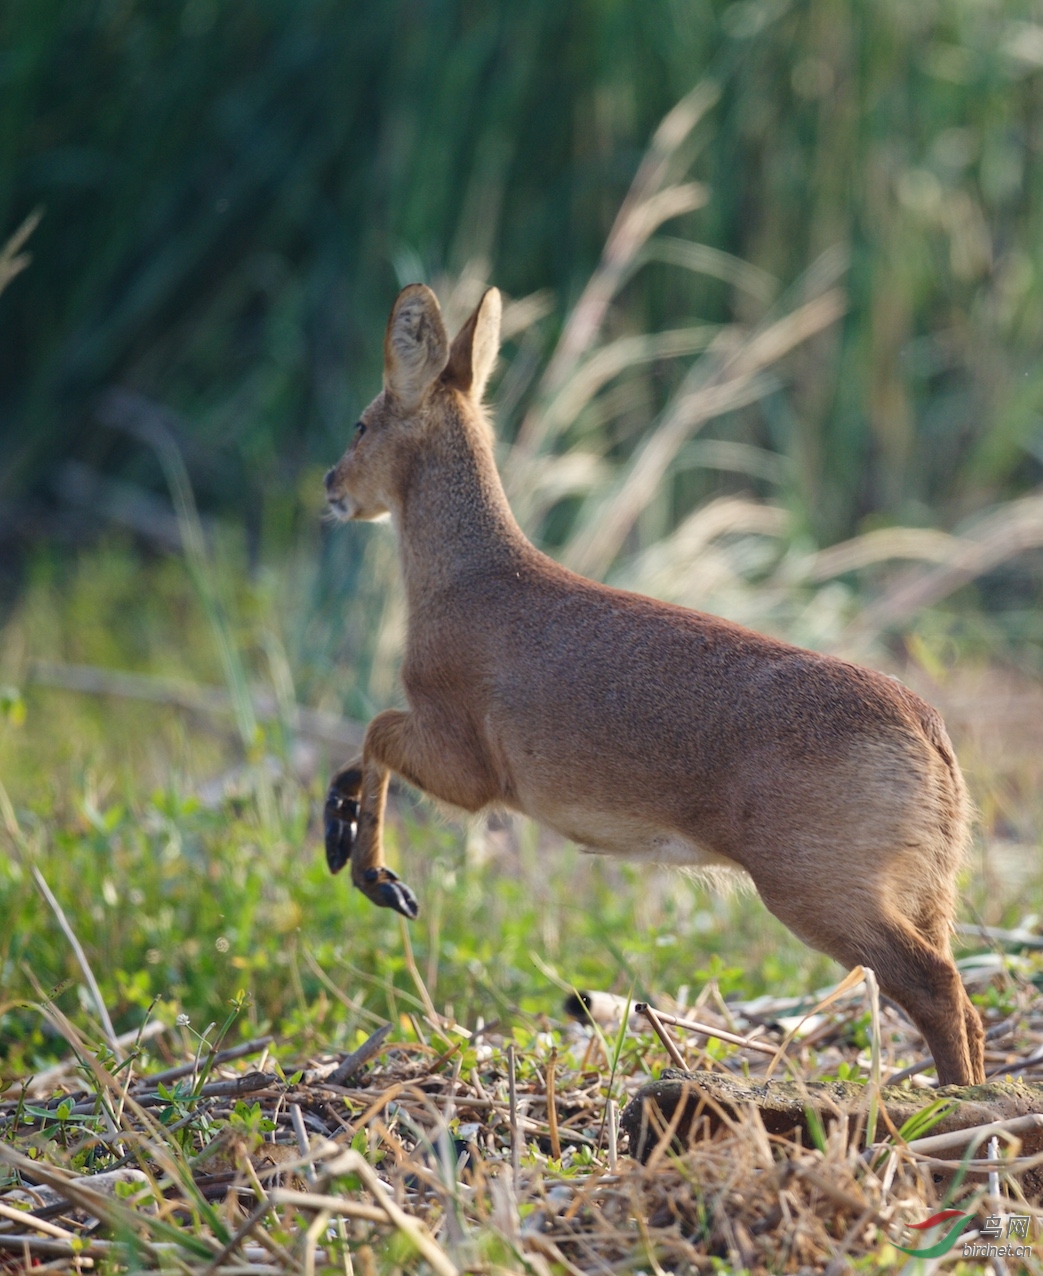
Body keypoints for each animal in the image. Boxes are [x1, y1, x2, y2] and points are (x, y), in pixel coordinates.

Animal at [322, 287, 985, 1087]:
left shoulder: (472, 767)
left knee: (933, 984)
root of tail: (928, 732)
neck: (464, 579)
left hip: (818, 887)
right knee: (966, 996)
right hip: (926, 890)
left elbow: (374, 730)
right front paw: (347, 838)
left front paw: (373, 872)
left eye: (361, 422)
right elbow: (365, 744)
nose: (330, 487)